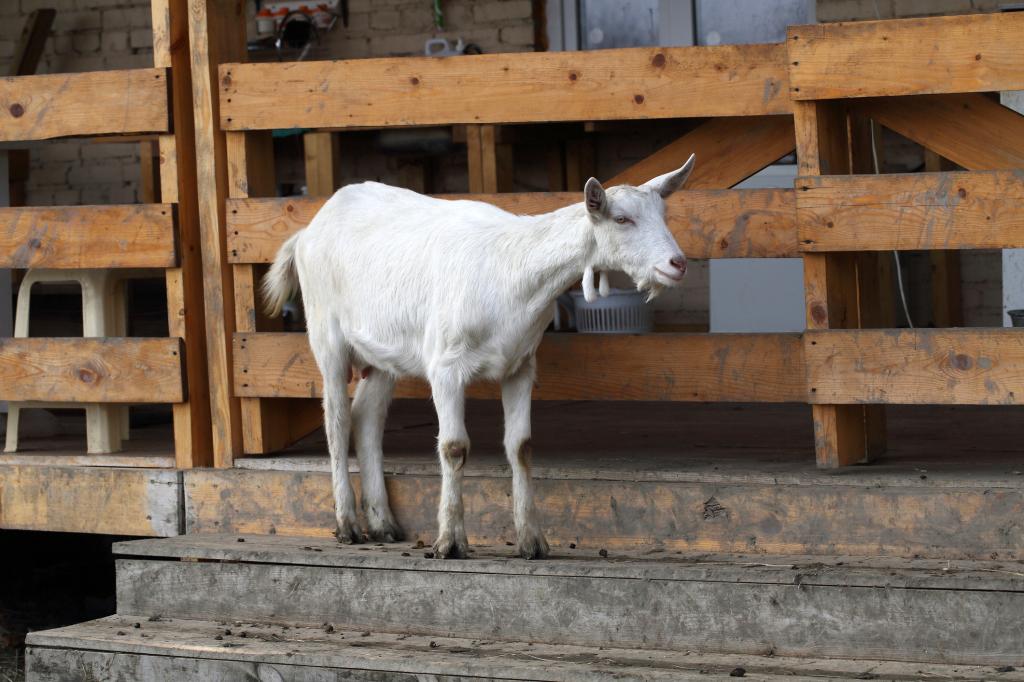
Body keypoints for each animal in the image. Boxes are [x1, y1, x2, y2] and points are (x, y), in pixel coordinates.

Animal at [264, 153, 696, 557]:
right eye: (622, 219)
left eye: (662, 214)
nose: (678, 264)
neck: (513, 269)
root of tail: (308, 230)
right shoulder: (445, 367)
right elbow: (454, 447)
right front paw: (449, 542)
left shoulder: (521, 365)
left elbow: (521, 447)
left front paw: (532, 542)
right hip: (327, 334)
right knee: (336, 421)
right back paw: (347, 525)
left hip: (385, 353)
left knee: (366, 417)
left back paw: (383, 524)